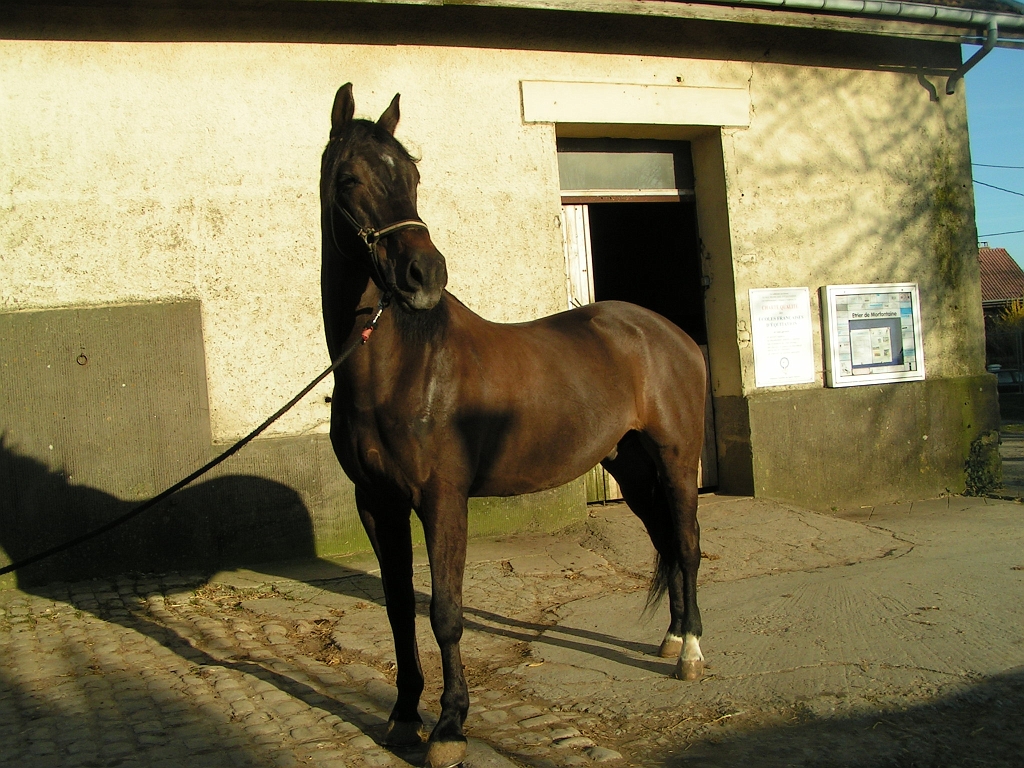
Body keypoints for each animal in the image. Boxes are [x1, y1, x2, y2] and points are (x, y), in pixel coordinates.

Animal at [321, 83, 708, 768]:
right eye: (349, 179)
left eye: (413, 176)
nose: (425, 276)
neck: (401, 365)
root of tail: (669, 334)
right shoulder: (378, 503)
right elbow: (398, 609)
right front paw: (402, 716)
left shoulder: (441, 500)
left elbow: (446, 612)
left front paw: (449, 727)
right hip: (633, 470)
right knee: (665, 541)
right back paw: (671, 639)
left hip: (676, 461)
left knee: (686, 546)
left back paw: (689, 654)